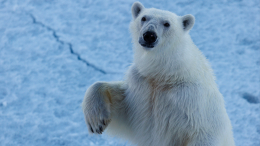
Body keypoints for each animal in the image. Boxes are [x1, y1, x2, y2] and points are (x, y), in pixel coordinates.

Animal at [82, 1, 236, 146]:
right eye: (143, 18)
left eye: (167, 23)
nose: (149, 35)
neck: (166, 75)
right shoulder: (141, 86)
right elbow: (123, 109)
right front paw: (96, 121)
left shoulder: (192, 101)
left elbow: (202, 134)